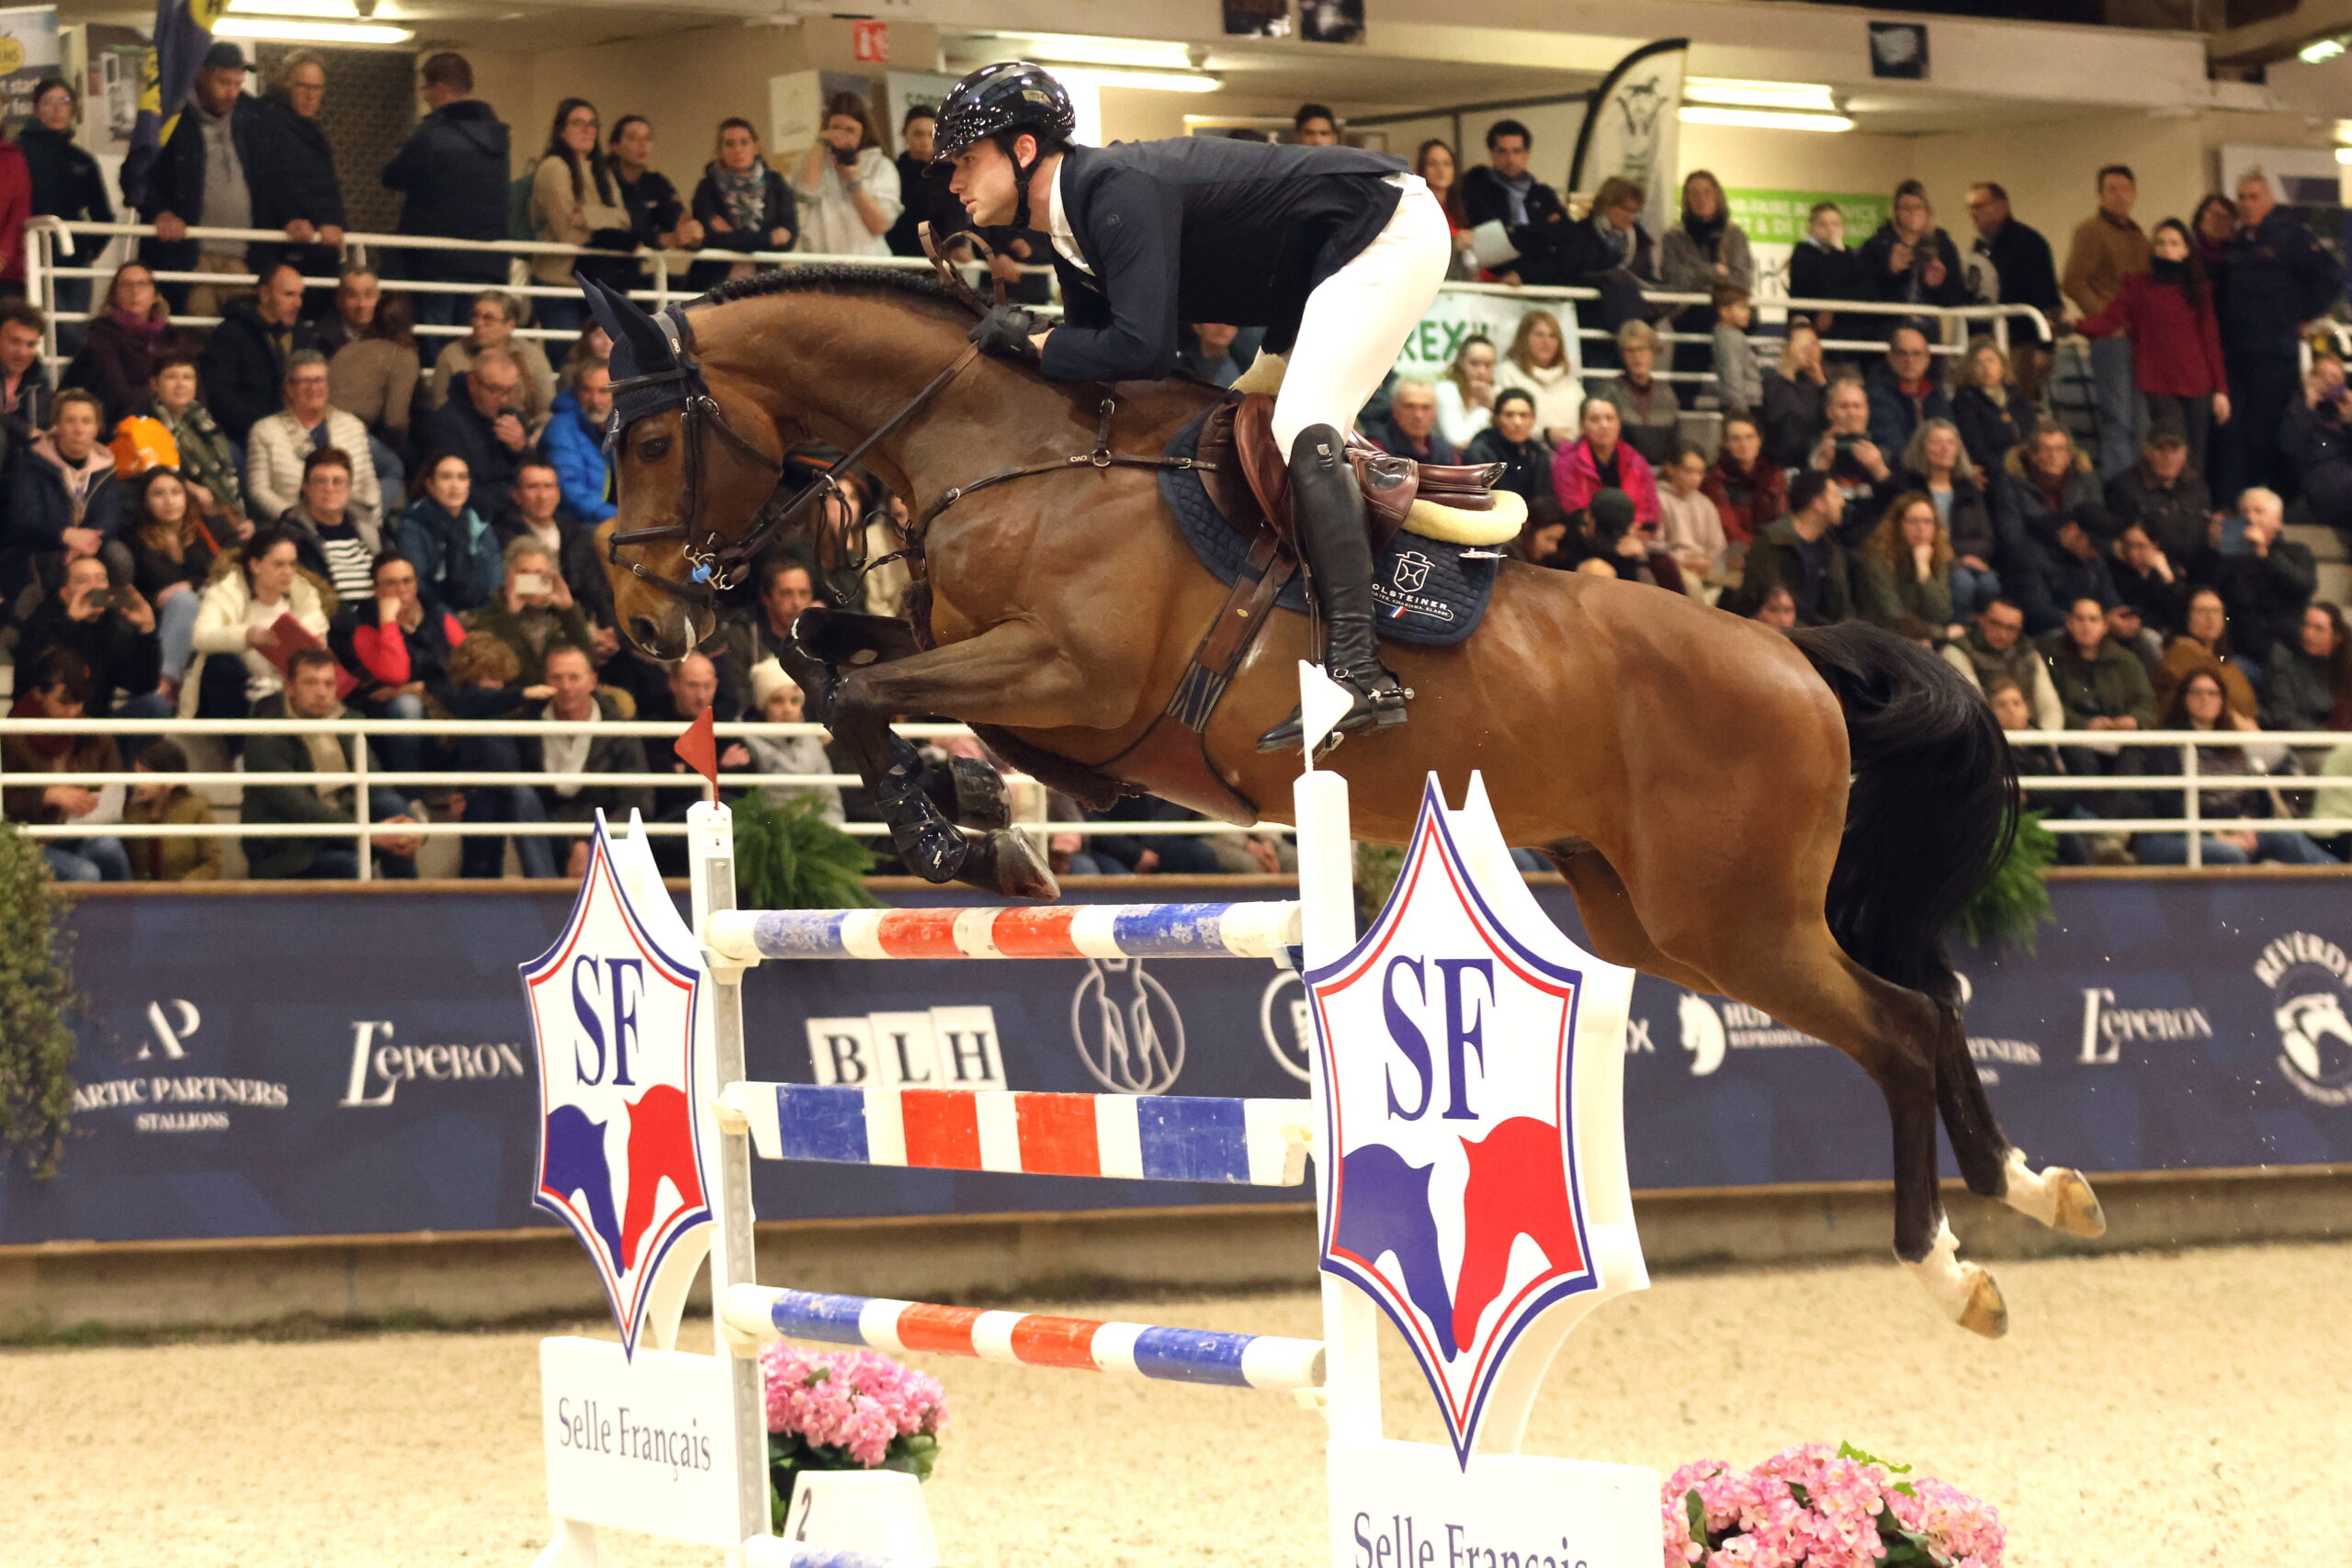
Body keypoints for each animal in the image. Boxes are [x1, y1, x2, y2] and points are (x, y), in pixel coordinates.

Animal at [588, 265, 2105, 1335]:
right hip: (1656, 919)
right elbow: (832, 654)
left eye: (653, 435)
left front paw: (948, 820)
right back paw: (2031, 1190)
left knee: (1902, 1023)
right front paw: (980, 810)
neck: (1009, 450)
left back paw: (1954, 1262)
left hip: (1732, 919)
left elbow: (853, 683)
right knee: (1922, 1012)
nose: (645, 620)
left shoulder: (1069, 670)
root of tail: (1796, 652)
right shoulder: (1045, 697)